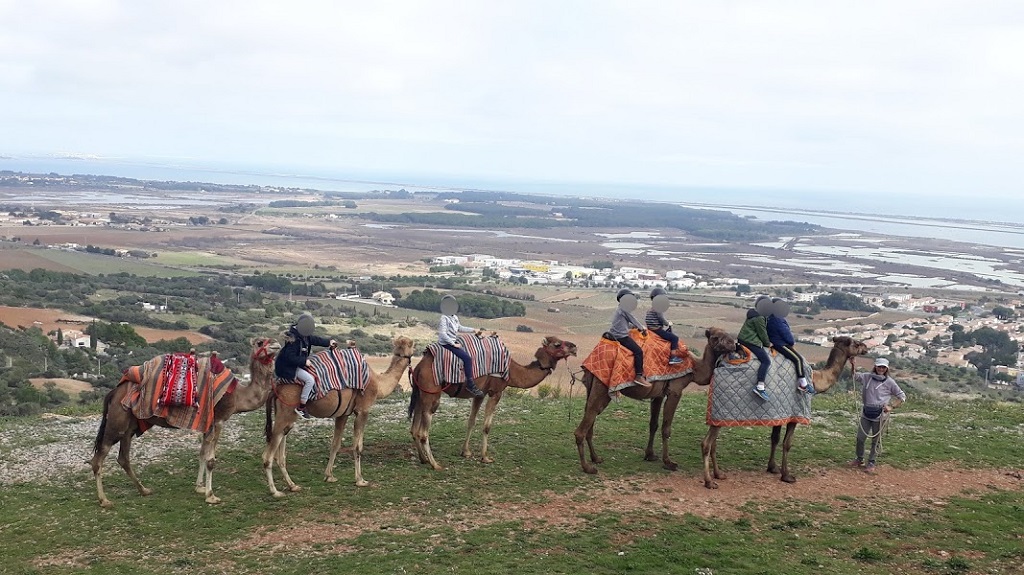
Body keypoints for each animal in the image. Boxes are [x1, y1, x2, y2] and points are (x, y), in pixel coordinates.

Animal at [89, 337, 276, 507]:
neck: (238, 396)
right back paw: (104, 500)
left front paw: (199, 487)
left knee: (123, 458)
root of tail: (113, 393)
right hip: (117, 420)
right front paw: (211, 496)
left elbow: (202, 454)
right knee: (99, 457)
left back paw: (144, 490)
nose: (276, 345)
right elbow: (210, 459)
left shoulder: (207, 423)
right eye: (260, 342)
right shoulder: (218, 420)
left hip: (129, 425)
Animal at [262, 333, 413, 495]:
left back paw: (292, 485)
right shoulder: (363, 410)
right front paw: (360, 480)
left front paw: (329, 476)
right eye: (411, 345)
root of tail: (276, 389)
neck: (378, 384)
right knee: (267, 456)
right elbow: (357, 446)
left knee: (280, 453)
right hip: (286, 413)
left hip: (285, 416)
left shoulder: (343, 414)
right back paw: (275, 492)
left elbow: (335, 444)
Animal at [411, 333, 581, 468]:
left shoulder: (480, 393)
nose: (574, 347)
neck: (512, 371)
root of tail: (419, 367)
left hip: (420, 392)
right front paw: (485, 457)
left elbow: (471, 421)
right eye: (557, 344)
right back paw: (435, 464)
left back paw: (423, 459)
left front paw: (466, 452)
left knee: (414, 429)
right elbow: (487, 426)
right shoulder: (496, 392)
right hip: (432, 392)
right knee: (423, 431)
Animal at [577, 327, 737, 474]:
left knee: (590, 416)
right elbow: (666, 428)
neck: (694, 368)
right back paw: (587, 467)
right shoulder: (675, 390)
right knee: (585, 423)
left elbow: (653, 424)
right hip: (602, 387)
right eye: (715, 337)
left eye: (728, 336)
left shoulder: (658, 394)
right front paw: (669, 462)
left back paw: (596, 458)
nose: (733, 344)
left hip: (592, 386)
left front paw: (650, 455)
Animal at [700, 333, 868, 484]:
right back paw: (709, 481)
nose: (866, 348)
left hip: (718, 415)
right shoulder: (795, 412)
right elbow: (787, 444)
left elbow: (775, 438)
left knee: (713, 442)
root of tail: (719, 364)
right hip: (722, 410)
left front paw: (772, 467)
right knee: (706, 443)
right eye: (856, 343)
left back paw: (719, 474)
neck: (815, 379)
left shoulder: (780, 411)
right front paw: (786, 475)